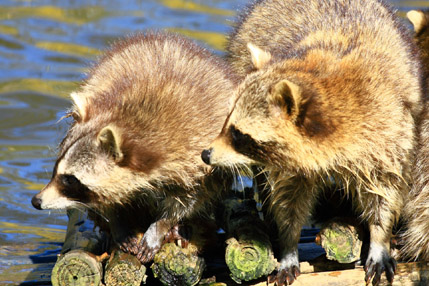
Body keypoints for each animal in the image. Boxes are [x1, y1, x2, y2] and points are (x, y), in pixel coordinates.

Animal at [31, 31, 236, 264]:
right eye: (56, 170)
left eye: (70, 180)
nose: (36, 201)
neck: (133, 124)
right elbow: (108, 203)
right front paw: (118, 223)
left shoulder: (200, 155)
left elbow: (190, 197)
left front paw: (161, 225)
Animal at [201, 1, 422, 284]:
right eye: (226, 122)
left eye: (238, 134)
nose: (206, 154)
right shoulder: (290, 164)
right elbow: (288, 200)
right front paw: (288, 244)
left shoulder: (388, 128)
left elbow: (384, 189)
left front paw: (379, 238)